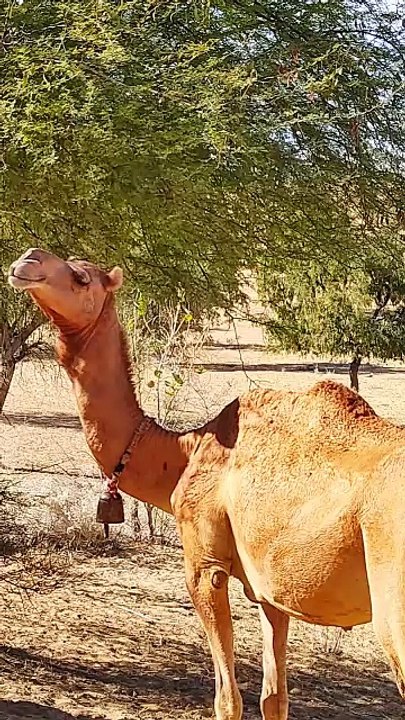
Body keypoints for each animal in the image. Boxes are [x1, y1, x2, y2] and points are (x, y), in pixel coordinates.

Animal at [8, 247, 405, 720]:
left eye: (82, 277)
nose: (27, 261)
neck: (183, 453)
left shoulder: (204, 563)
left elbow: (227, 699)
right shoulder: (270, 590)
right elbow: (274, 697)